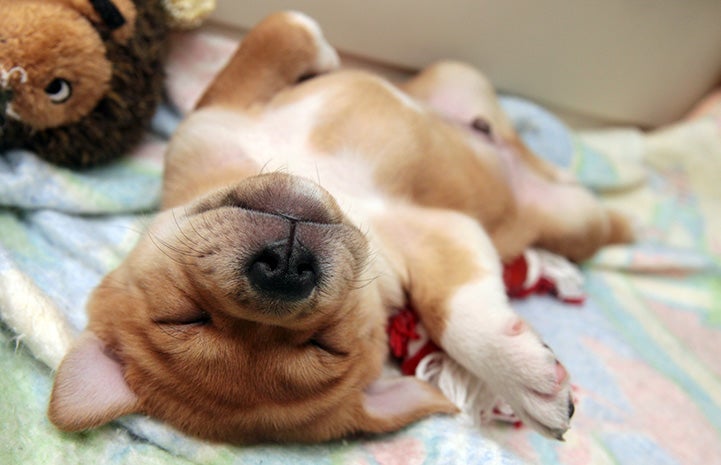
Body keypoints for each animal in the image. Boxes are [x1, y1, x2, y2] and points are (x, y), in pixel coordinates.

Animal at [47, 10, 632, 442]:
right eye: (187, 318)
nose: (283, 269)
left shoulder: (213, 115)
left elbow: (277, 30)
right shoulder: (444, 235)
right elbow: (452, 314)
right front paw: (525, 376)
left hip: (456, 77)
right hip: (575, 222)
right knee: (590, 216)